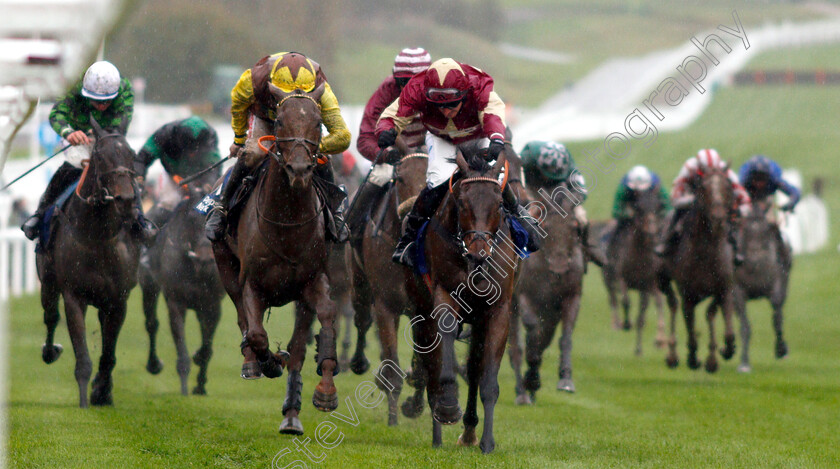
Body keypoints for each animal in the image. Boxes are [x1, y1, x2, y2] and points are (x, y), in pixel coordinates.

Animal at [38, 118, 141, 406]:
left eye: (132, 155)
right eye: (101, 157)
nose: (126, 200)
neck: (97, 236)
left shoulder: (118, 300)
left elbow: (109, 355)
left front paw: (101, 391)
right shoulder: (74, 295)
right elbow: (82, 357)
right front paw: (85, 401)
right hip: (48, 281)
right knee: (50, 317)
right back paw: (50, 351)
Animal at [210, 84, 338, 436]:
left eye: (318, 122)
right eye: (279, 121)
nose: (300, 169)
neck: (287, 222)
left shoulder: (313, 282)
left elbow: (320, 326)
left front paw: (324, 392)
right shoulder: (251, 283)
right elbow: (255, 333)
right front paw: (268, 361)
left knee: (298, 346)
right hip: (225, 266)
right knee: (243, 321)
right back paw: (252, 362)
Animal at [408, 141, 520, 452]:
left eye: (499, 204)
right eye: (461, 203)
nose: (478, 254)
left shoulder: (498, 310)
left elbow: (486, 378)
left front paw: (487, 442)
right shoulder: (443, 297)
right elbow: (442, 356)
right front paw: (447, 407)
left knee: (473, 368)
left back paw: (469, 432)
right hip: (420, 310)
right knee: (430, 363)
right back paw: (437, 432)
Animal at [604, 186, 668, 354]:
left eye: (658, 206)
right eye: (638, 208)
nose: (651, 233)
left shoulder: (646, 284)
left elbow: (642, 317)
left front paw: (639, 349)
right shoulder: (620, 277)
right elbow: (625, 301)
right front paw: (626, 324)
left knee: (659, 303)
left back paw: (660, 340)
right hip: (609, 276)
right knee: (613, 298)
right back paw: (618, 323)